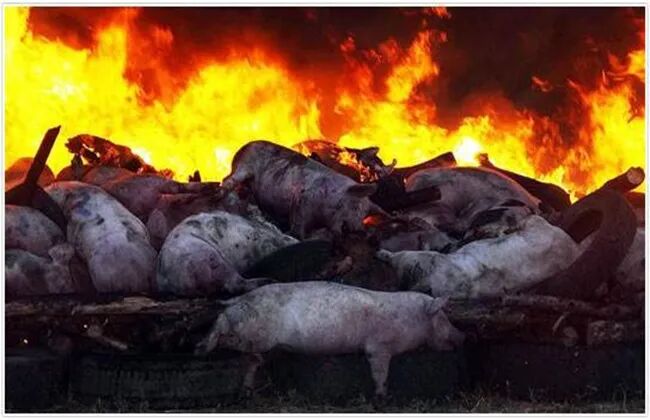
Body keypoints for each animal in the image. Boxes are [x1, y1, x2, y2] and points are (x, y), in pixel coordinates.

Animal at [195, 281, 464, 397]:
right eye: (443, 317)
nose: (463, 335)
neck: (409, 320)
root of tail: (237, 299)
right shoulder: (378, 346)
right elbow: (380, 372)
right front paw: (382, 397)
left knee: (249, 358)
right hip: (251, 330)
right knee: (223, 330)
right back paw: (201, 348)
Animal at [222, 141, 385, 238]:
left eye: (365, 215)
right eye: (355, 206)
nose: (360, 232)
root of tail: (243, 147)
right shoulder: (302, 199)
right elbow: (298, 224)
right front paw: (294, 236)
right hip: (245, 166)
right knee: (228, 179)